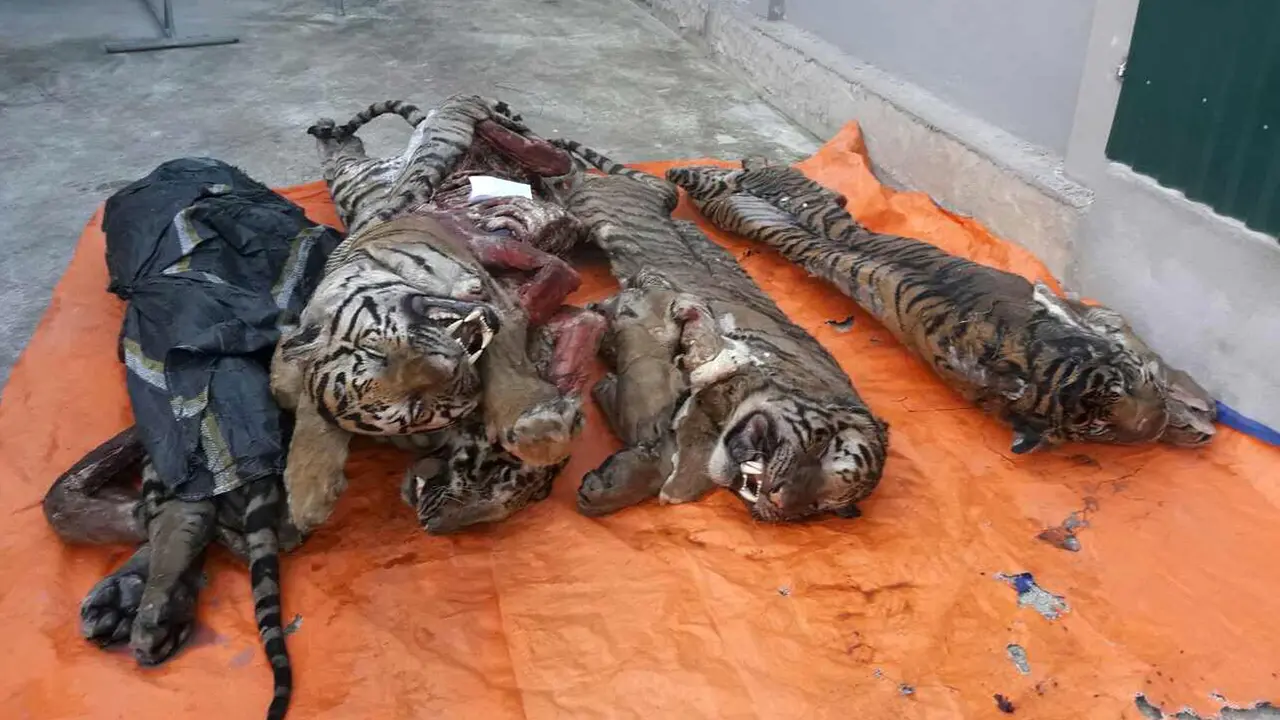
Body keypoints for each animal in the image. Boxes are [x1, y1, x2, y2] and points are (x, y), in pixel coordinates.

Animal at [666, 162, 1218, 453]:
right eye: (1097, 428)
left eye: (1122, 387)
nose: (1151, 428)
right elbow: (1132, 339)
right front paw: (1189, 420)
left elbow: (1137, 343)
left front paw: (1189, 406)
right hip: (761, 211)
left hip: (762, 212)